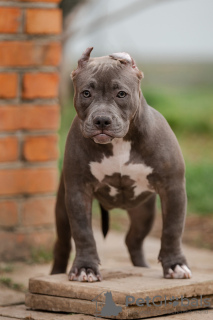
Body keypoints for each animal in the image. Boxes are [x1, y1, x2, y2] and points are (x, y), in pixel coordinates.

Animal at [51, 47, 191, 282]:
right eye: (86, 93)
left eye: (121, 94)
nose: (102, 120)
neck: (119, 142)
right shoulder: (78, 191)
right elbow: (83, 232)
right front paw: (85, 268)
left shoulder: (173, 188)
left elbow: (172, 229)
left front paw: (175, 265)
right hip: (62, 208)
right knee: (62, 244)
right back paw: (56, 272)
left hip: (144, 213)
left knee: (133, 240)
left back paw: (142, 267)